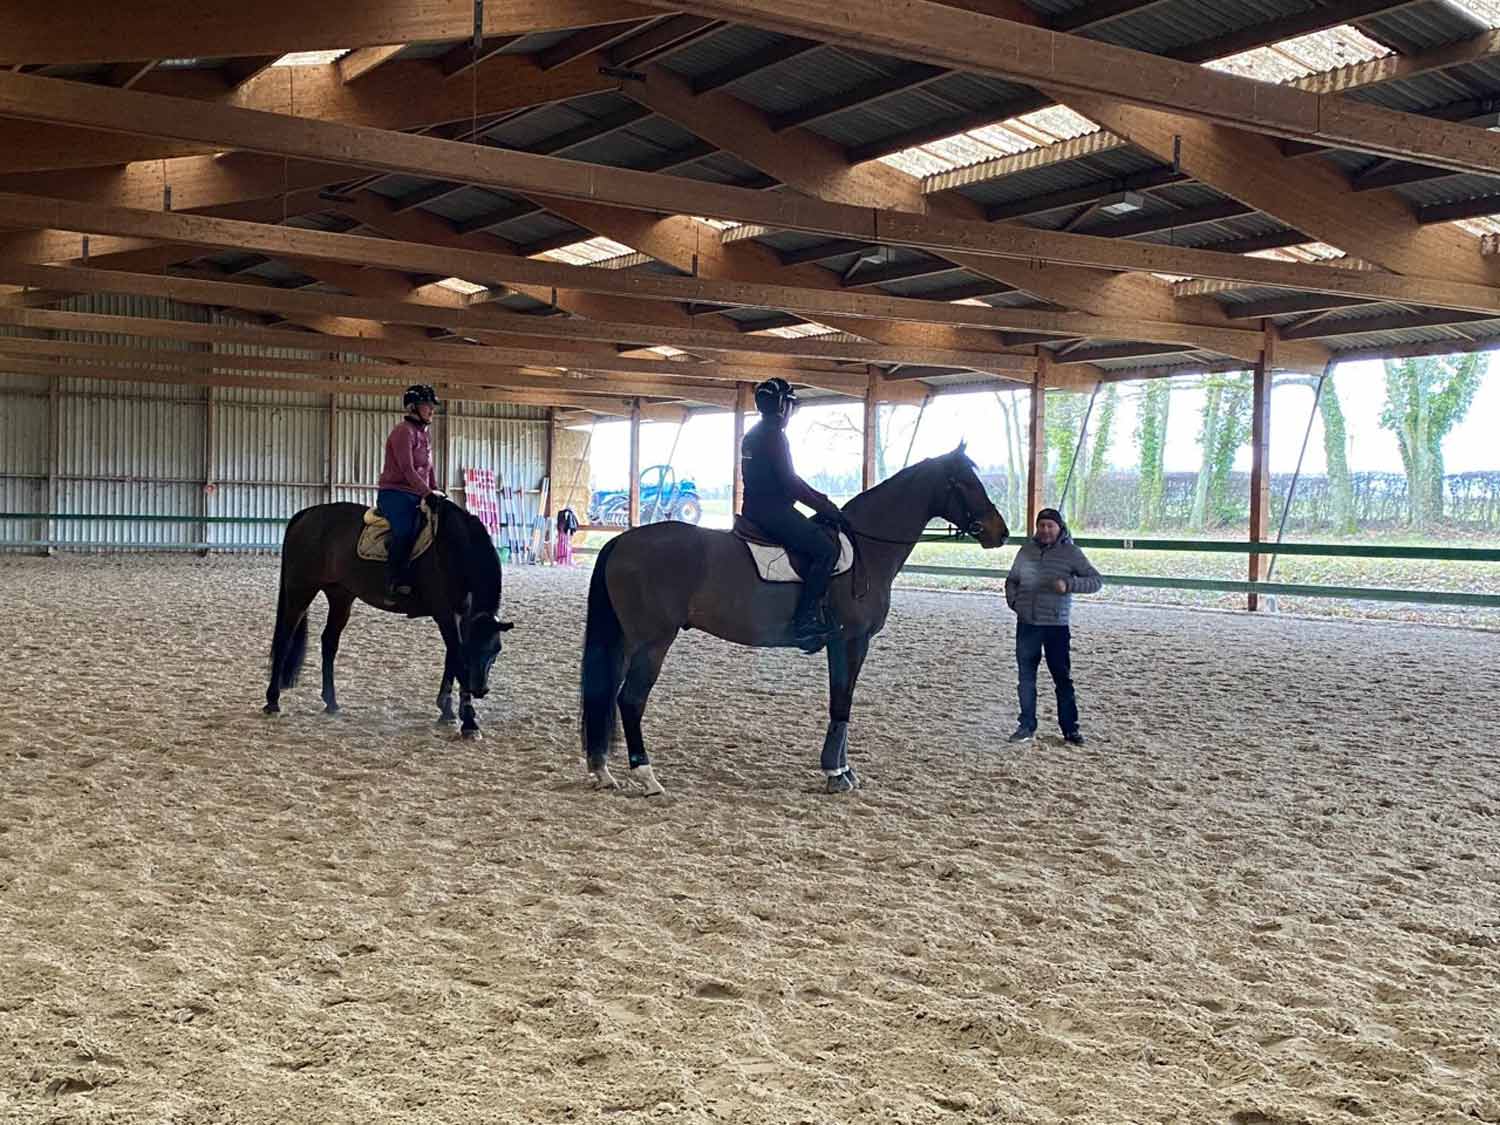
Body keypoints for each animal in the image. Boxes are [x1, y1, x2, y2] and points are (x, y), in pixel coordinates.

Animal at [261, 498, 513, 735]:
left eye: (496, 651)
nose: (480, 690)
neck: (454, 549)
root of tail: (307, 513)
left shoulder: (459, 615)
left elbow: (451, 657)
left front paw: (448, 711)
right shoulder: (446, 615)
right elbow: (457, 656)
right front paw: (468, 721)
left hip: (340, 595)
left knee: (329, 642)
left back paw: (331, 703)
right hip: (301, 590)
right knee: (284, 638)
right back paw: (273, 701)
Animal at [579, 444, 1014, 798]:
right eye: (965, 482)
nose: (1001, 531)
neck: (867, 548)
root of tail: (622, 540)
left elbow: (842, 701)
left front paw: (843, 769)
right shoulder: (851, 640)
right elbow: (842, 701)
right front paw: (836, 773)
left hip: (628, 640)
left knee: (606, 693)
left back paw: (602, 770)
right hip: (654, 641)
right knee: (630, 700)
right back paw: (647, 776)